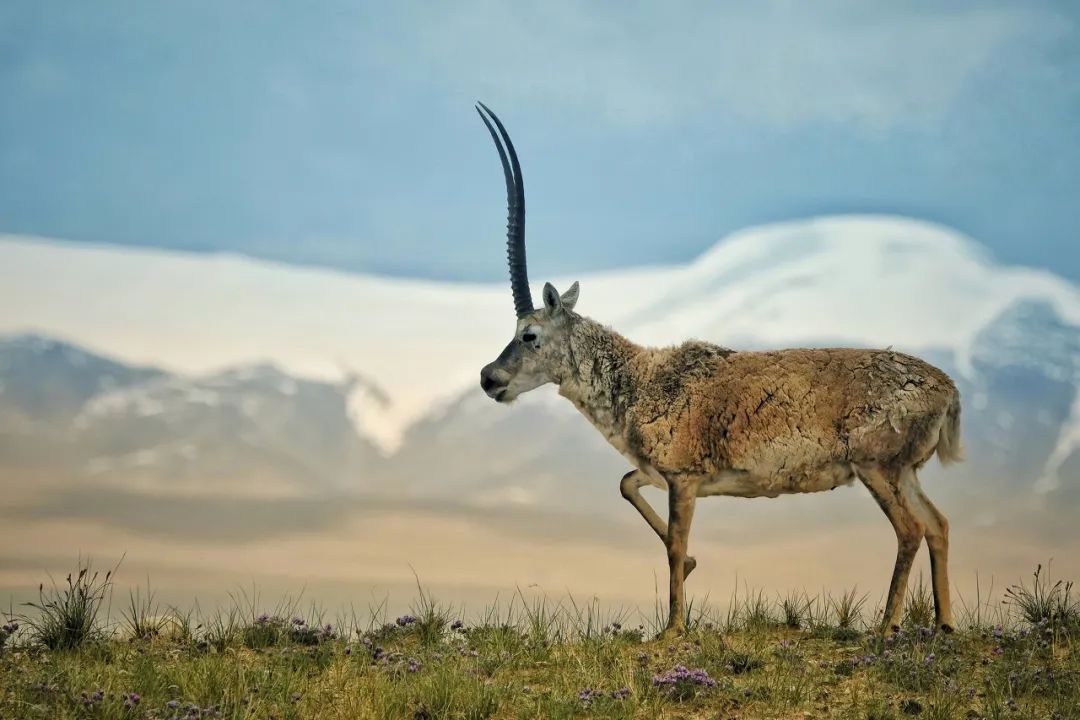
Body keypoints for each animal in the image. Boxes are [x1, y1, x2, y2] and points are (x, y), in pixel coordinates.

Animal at [473, 102, 963, 634]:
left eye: (529, 334)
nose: (489, 378)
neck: (642, 379)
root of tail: (948, 391)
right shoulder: (656, 473)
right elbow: (627, 486)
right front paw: (687, 576)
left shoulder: (683, 478)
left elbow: (675, 545)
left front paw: (672, 628)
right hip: (904, 472)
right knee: (938, 523)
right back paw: (944, 624)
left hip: (876, 467)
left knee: (910, 529)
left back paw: (887, 627)